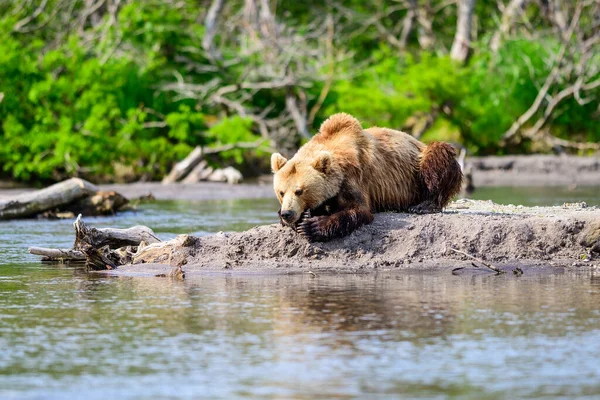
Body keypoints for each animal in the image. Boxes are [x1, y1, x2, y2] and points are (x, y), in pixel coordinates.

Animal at [272, 114, 464, 242]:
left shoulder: (352, 178)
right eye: (281, 192)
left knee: (438, 154)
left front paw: (313, 226)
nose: (288, 213)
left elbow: (359, 210)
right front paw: (294, 218)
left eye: (299, 191)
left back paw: (423, 205)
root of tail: (418, 142)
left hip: (418, 166)